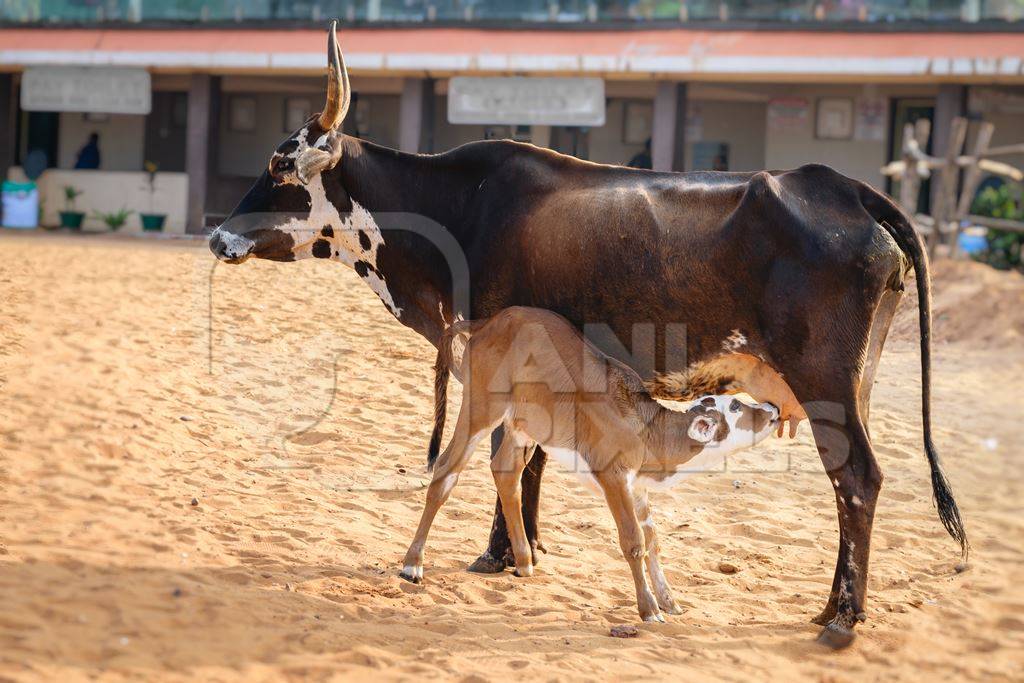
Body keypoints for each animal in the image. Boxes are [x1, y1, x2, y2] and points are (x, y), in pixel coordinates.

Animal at [399, 309, 774, 626]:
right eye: (736, 406)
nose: (771, 409)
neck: (645, 427)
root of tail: (488, 323)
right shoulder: (613, 478)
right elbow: (634, 541)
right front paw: (649, 610)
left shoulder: (637, 487)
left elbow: (653, 541)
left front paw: (669, 601)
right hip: (480, 409)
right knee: (445, 471)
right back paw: (412, 565)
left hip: (522, 426)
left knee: (505, 471)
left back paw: (524, 562)